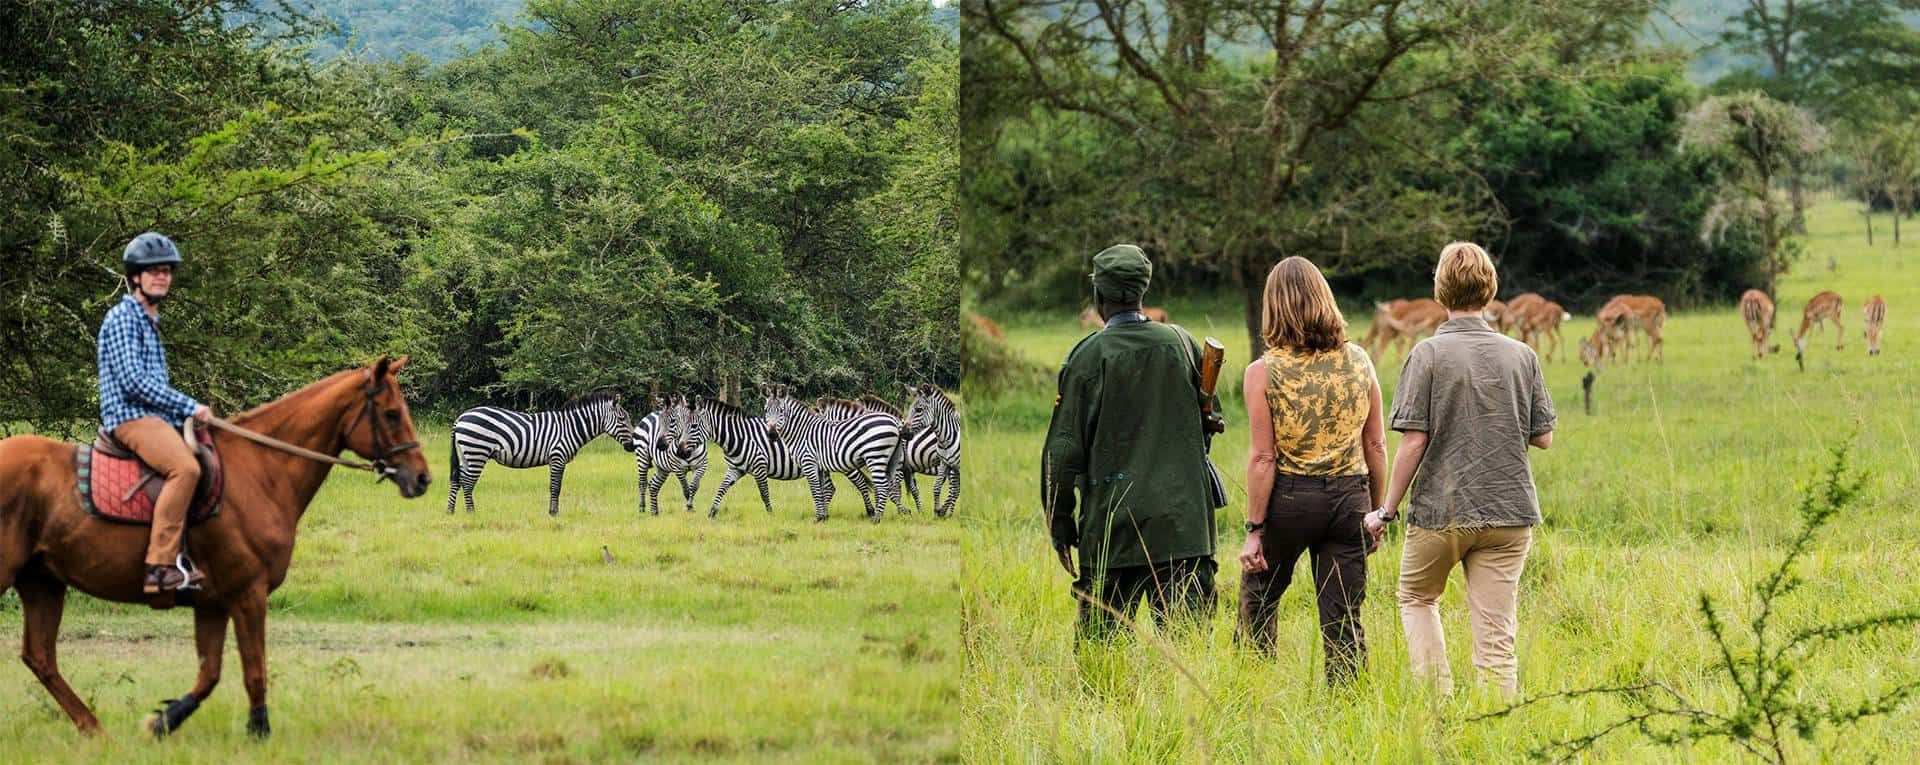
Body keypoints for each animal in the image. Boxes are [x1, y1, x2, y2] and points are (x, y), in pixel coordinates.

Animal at [0, 359, 428, 741]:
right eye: (391, 414)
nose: (422, 478)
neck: (260, 471)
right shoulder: (248, 594)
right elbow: (254, 672)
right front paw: (259, 732)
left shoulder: (212, 603)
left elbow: (210, 674)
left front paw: (162, 723)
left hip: (42, 583)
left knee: (40, 657)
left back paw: (95, 730)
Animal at [443, 394, 637, 515]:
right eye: (622, 419)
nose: (633, 446)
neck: (571, 427)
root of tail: (460, 418)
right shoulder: (558, 457)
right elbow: (555, 487)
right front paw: (554, 513)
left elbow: (555, 486)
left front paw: (553, 511)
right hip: (477, 452)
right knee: (467, 482)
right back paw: (471, 512)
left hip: (467, 453)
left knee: (457, 479)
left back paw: (450, 511)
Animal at [760, 386, 894, 522]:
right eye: (766, 410)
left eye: (781, 411)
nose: (772, 434)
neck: (802, 432)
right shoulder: (819, 466)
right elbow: (821, 490)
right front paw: (823, 517)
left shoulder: (808, 463)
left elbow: (814, 490)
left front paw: (818, 517)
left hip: (873, 458)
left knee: (879, 485)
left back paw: (876, 516)